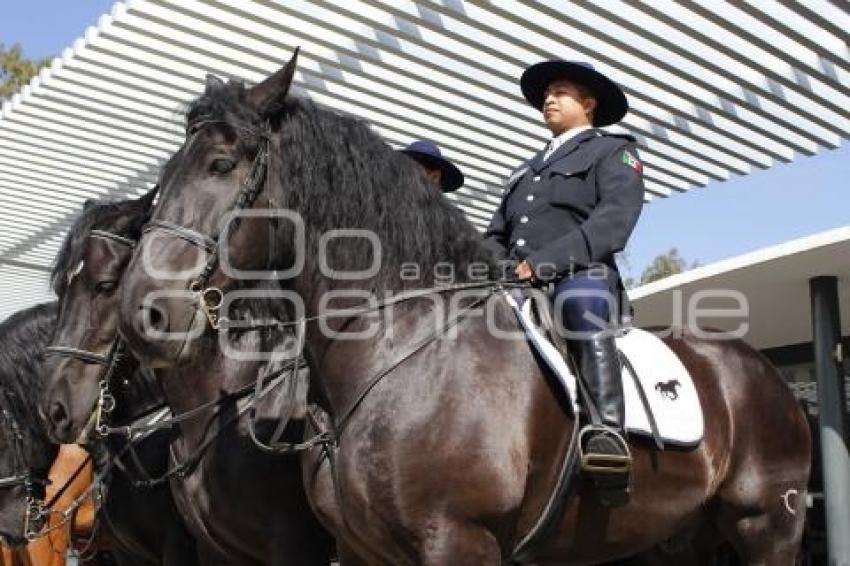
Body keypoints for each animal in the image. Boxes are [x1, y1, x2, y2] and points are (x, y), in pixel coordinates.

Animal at [116, 54, 804, 566]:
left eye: (221, 164)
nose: (145, 315)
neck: (401, 348)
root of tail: (765, 372)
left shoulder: (458, 540)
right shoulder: (363, 551)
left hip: (767, 524)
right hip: (680, 535)